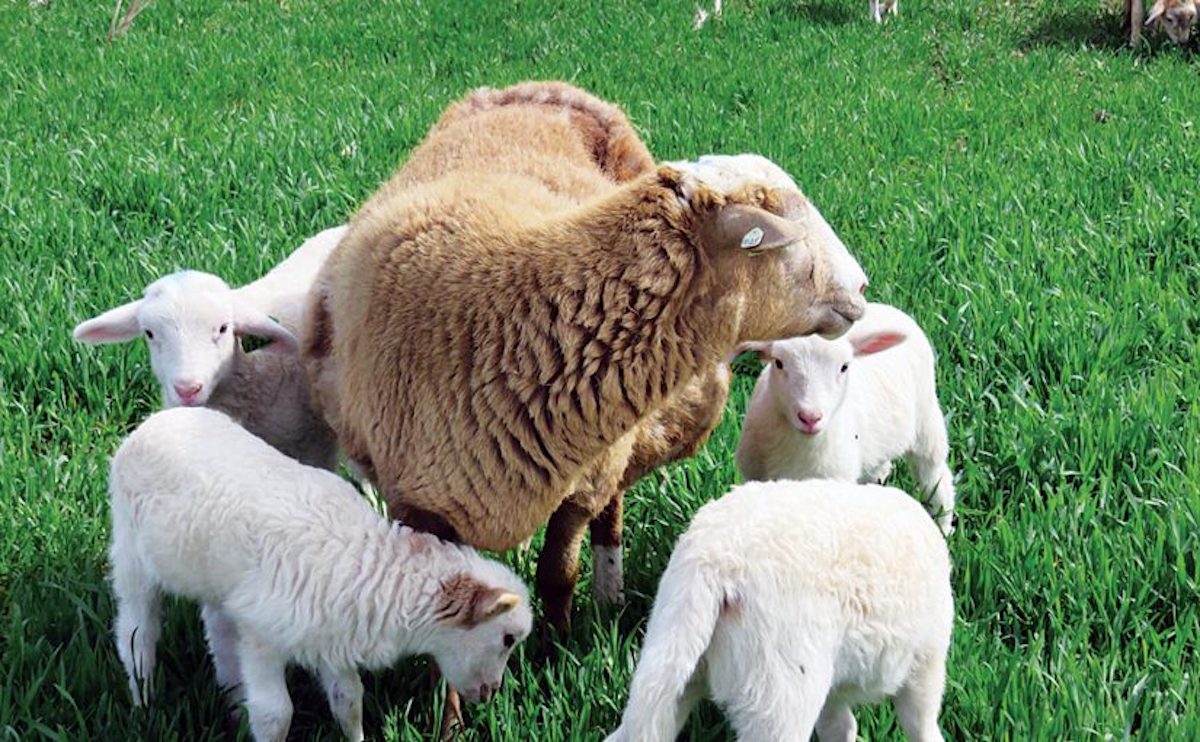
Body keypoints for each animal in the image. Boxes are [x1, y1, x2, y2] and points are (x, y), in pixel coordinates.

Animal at [109, 406, 531, 742]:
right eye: (507, 638)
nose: (489, 694)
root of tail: (156, 421)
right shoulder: (263, 636)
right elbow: (275, 715)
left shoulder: (331, 635)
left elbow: (349, 701)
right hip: (130, 554)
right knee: (137, 633)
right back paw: (144, 704)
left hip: (215, 577)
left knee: (219, 630)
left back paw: (231, 702)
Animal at [302, 81, 869, 632]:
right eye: (787, 230)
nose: (863, 286)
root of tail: (545, 85)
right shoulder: (419, 508)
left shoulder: (584, 483)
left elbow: (558, 575)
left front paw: (555, 647)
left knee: (613, 509)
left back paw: (609, 593)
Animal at [605, 479, 953, 742]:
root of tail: (715, 562)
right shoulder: (928, 658)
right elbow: (921, 723)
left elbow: (839, 725)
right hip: (779, 686)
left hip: (672, 651)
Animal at [735, 301, 956, 535]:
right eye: (778, 363)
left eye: (844, 367)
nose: (810, 417)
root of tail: (886, 307)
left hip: (927, 418)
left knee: (936, 478)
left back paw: (943, 526)